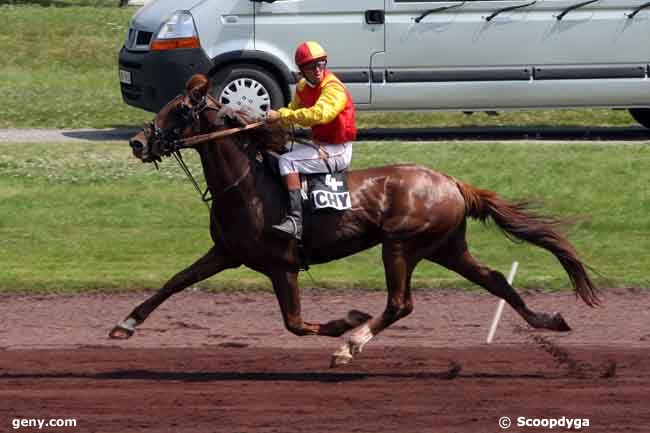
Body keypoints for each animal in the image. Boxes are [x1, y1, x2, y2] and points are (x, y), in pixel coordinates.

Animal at [107, 96, 596, 366]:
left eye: (179, 110)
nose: (137, 142)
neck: (248, 185)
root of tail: (452, 182)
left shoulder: (282, 265)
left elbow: (295, 324)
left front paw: (347, 322)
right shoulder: (227, 252)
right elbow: (174, 282)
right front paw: (124, 325)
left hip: (400, 245)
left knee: (401, 304)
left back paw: (352, 344)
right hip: (445, 247)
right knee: (494, 279)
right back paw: (547, 320)